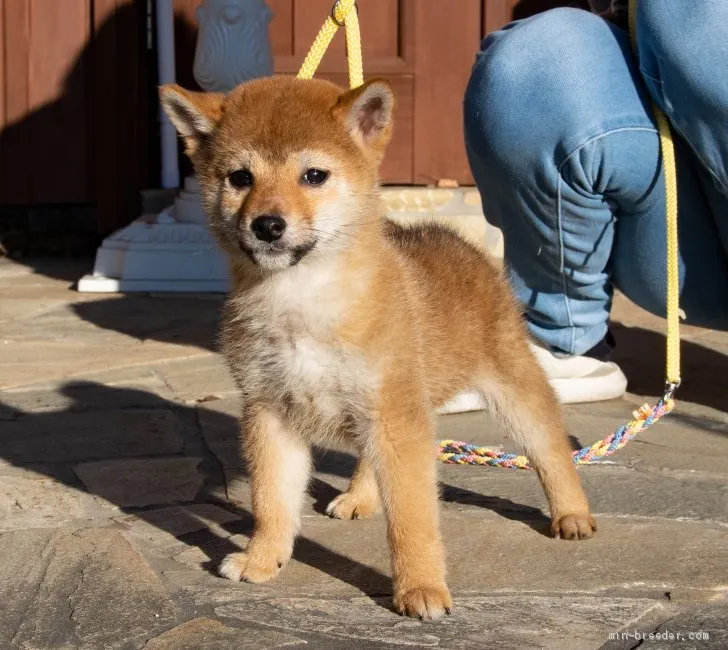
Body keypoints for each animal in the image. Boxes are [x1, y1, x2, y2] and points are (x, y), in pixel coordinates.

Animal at [161, 76, 596, 616]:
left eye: (314, 175)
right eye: (241, 178)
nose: (267, 224)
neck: (301, 302)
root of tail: (462, 245)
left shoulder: (394, 417)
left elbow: (412, 519)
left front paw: (421, 588)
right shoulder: (270, 412)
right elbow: (272, 502)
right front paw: (262, 559)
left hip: (507, 389)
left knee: (551, 447)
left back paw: (571, 513)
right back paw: (360, 497)